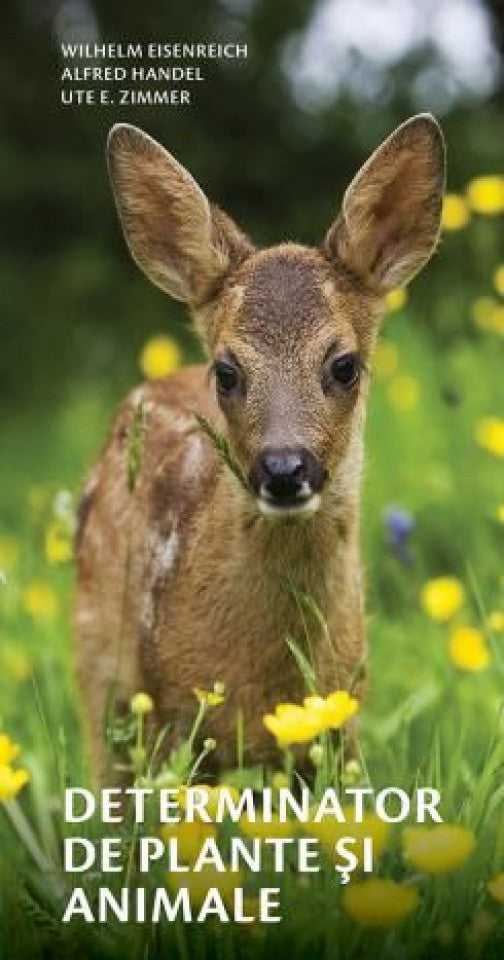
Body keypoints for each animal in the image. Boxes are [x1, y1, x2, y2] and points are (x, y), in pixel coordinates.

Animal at [75, 116, 444, 784]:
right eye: (226, 372)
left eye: (345, 365)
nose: (283, 468)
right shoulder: (172, 720)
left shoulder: (340, 724)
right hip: (103, 683)